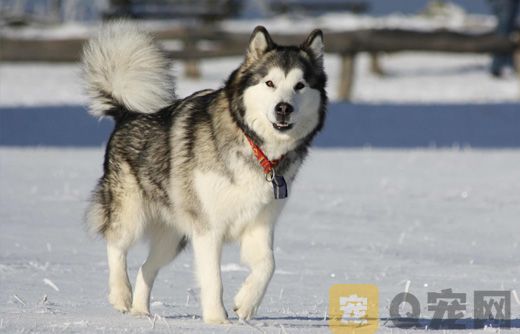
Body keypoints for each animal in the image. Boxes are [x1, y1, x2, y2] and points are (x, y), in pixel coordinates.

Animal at [82, 20, 324, 324]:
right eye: (270, 83)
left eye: (300, 85)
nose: (284, 108)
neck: (254, 146)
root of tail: (127, 113)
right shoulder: (208, 228)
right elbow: (213, 279)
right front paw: (217, 320)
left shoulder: (260, 223)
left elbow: (269, 264)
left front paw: (246, 304)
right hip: (131, 212)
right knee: (116, 244)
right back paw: (121, 295)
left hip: (174, 237)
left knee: (146, 268)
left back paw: (141, 312)